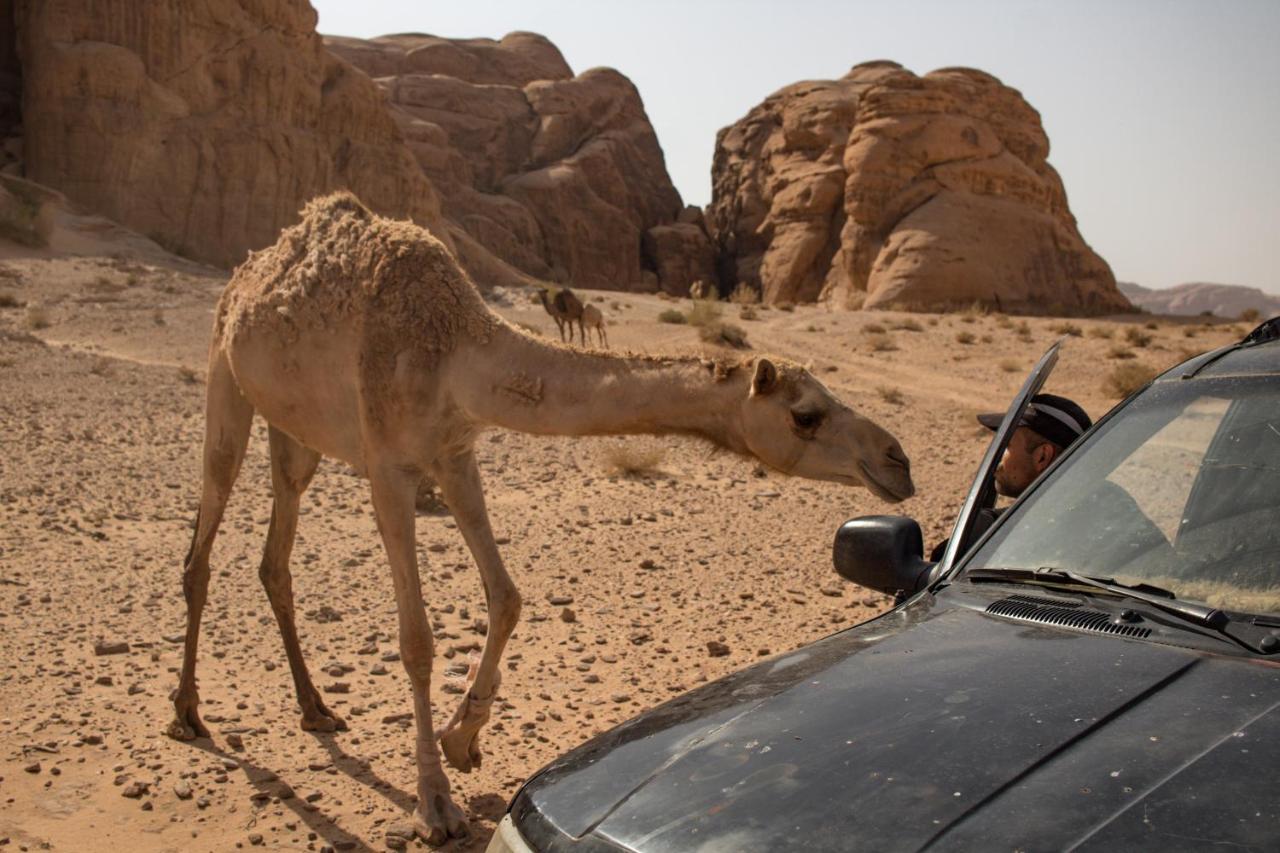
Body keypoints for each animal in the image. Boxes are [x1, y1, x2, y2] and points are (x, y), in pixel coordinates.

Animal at [165, 194, 916, 845]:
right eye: (806, 414)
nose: (898, 460)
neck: (456, 353)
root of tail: (245, 275)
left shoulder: (455, 454)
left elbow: (508, 596)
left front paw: (463, 739)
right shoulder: (388, 466)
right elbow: (417, 639)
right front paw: (435, 803)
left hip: (296, 430)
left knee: (275, 556)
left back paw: (315, 707)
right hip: (225, 378)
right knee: (203, 541)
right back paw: (188, 712)